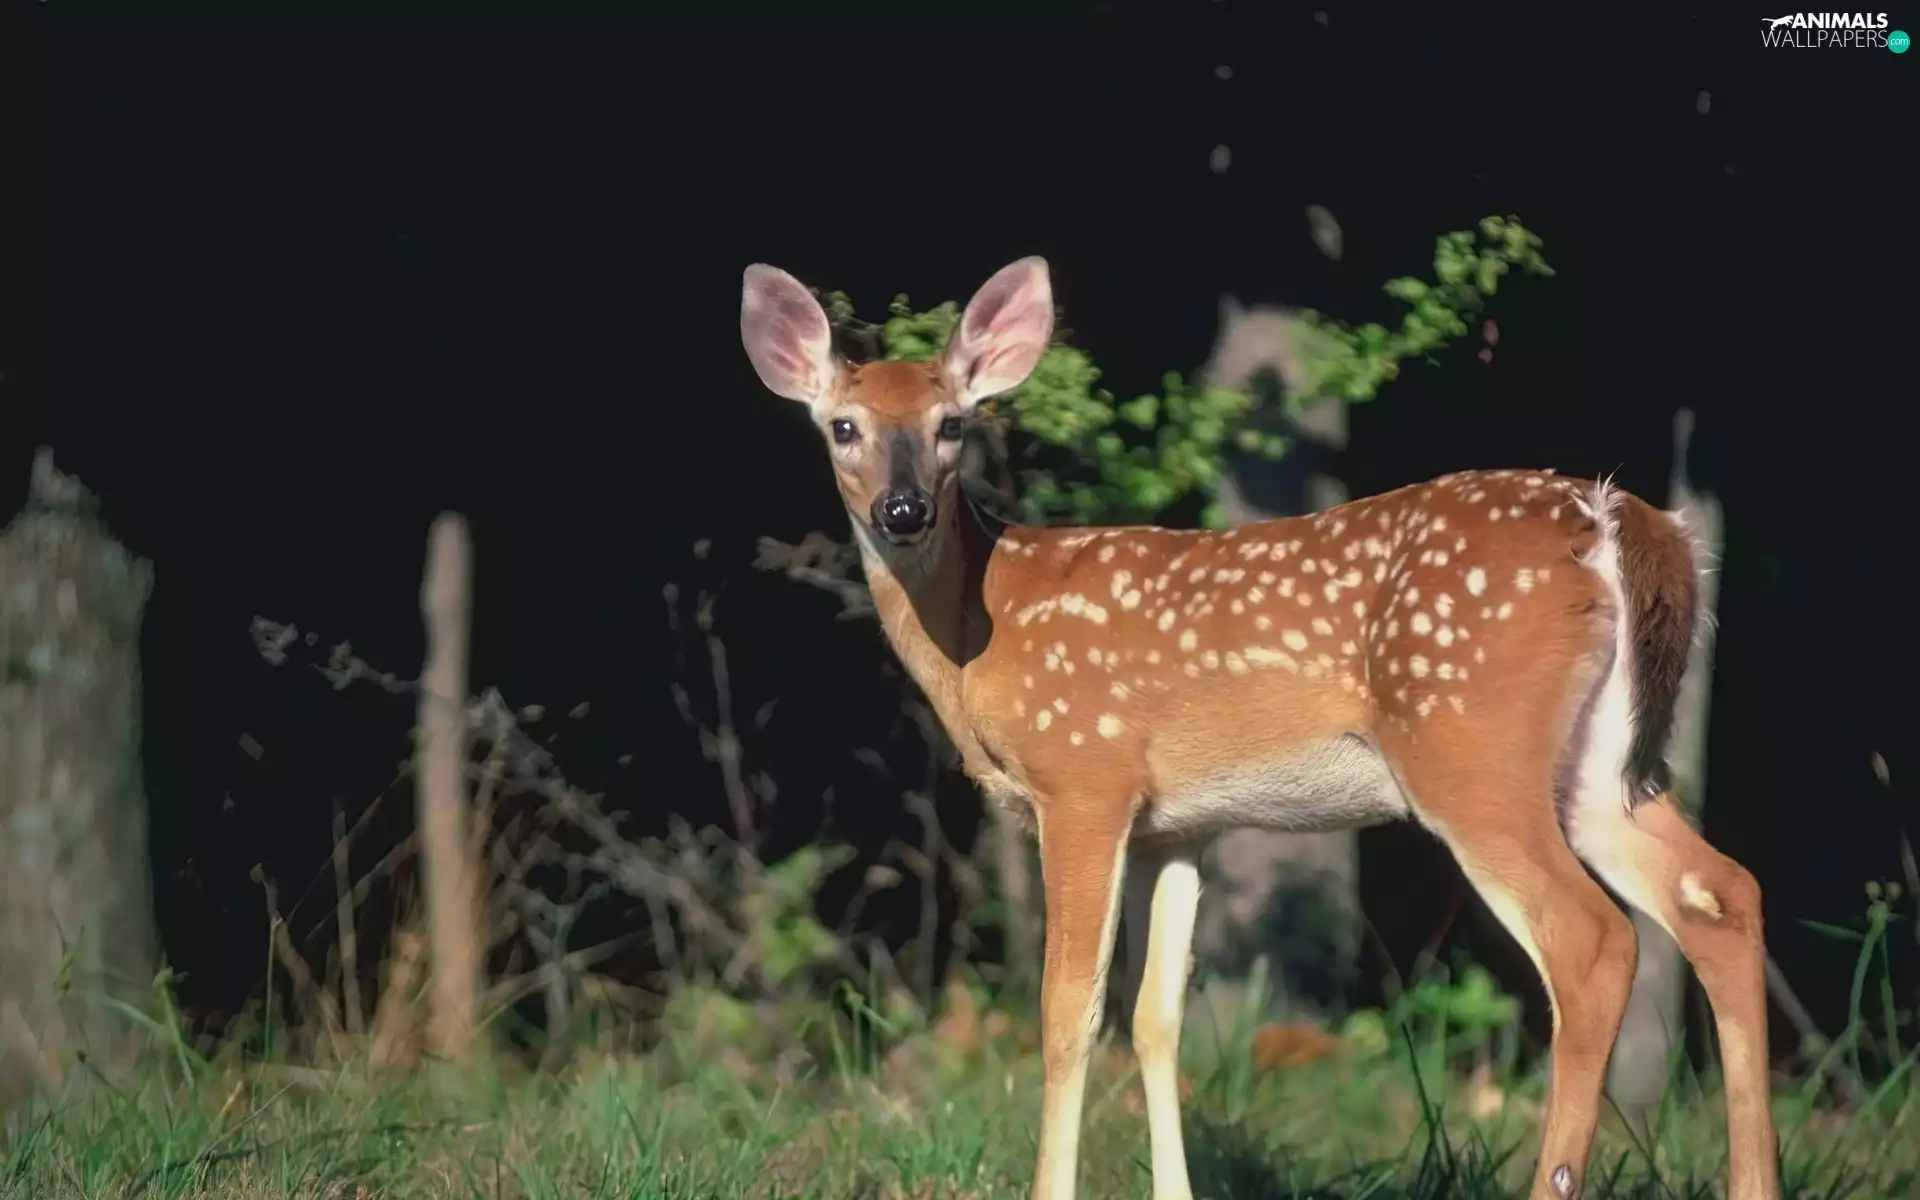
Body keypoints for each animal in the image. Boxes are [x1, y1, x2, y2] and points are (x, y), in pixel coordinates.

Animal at [740, 255, 1780, 1200]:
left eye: (952, 424)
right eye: (843, 426)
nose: (902, 509)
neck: (982, 632)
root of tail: (1617, 516)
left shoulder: (1084, 777)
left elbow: (1067, 1007)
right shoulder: (1178, 825)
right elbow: (1156, 1017)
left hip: (1468, 745)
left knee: (1593, 941)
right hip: (1599, 767)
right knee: (1721, 893)